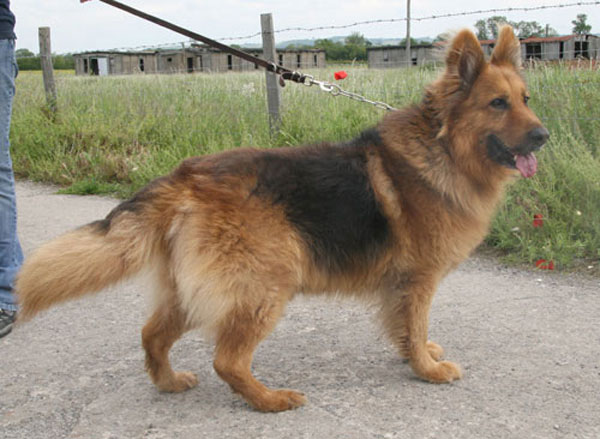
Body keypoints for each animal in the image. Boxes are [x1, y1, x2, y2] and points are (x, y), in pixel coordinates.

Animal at [16, 27, 548, 412]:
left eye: (526, 99)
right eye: (497, 104)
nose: (544, 136)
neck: (443, 147)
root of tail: (186, 177)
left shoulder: (402, 286)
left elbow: (405, 329)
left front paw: (417, 356)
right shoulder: (416, 280)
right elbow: (414, 328)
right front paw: (427, 369)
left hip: (194, 290)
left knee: (152, 334)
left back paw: (168, 382)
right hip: (266, 283)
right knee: (226, 359)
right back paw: (270, 400)